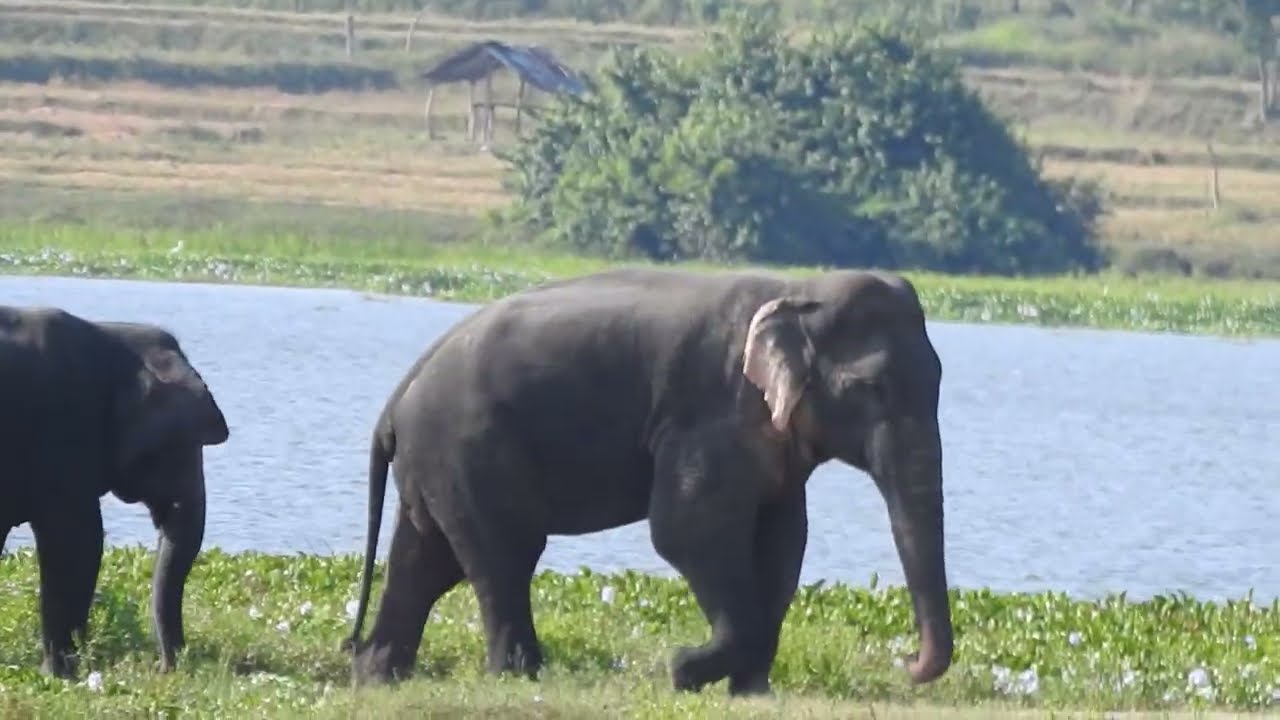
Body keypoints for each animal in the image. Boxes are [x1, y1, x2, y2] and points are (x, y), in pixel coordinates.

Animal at [0, 305, 229, 678]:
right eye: (182, 444)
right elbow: (78, 541)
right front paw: (60, 675)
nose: (166, 667)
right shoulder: (61, 426)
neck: (111, 335)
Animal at [343, 267, 953, 696]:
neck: (797, 290)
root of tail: (396, 401)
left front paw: (750, 692)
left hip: (438, 463)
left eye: (940, 379)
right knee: (504, 556)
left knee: (428, 557)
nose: (906, 662)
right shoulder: (711, 414)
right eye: (871, 388)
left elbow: (782, 542)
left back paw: (380, 673)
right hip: (468, 448)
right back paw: (518, 676)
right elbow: (688, 531)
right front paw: (683, 670)